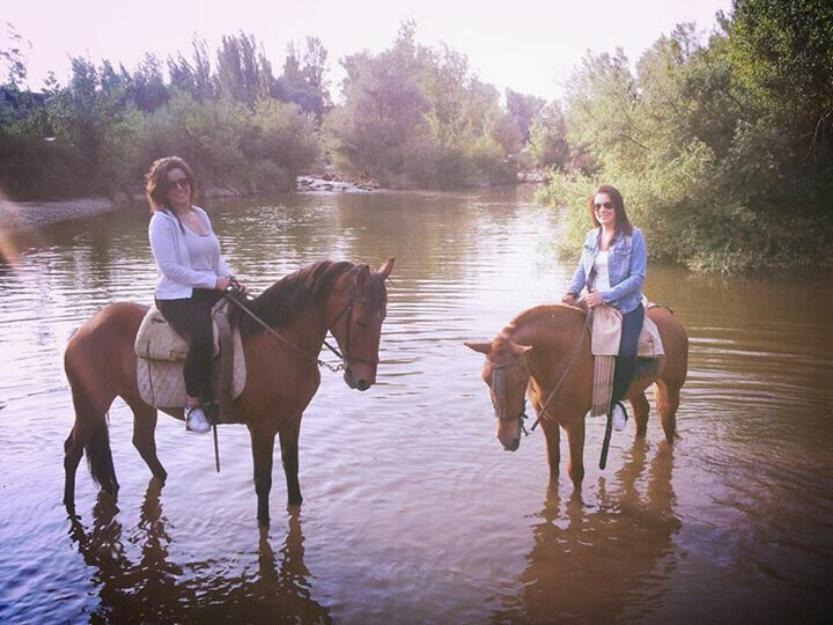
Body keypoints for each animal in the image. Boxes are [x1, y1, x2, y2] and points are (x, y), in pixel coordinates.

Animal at [63, 256, 394, 524]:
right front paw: (263, 523)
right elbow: (263, 481)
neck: (279, 344)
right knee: (72, 451)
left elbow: (291, 468)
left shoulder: (292, 419)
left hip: (140, 403)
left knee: (142, 443)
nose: (363, 380)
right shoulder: (261, 427)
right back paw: (68, 505)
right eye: (361, 321)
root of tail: (83, 329)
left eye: (383, 317)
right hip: (90, 405)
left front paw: (296, 506)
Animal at [464, 304, 684, 486]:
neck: (559, 357)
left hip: (670, 387)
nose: (507, 440)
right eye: (486, 379)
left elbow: (576, 472)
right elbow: (553, 462)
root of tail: (670, 315)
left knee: (667, 422)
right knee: (642, 413)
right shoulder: (547, 419)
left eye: (520, 379)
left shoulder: (575, 422)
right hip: (635, 390)